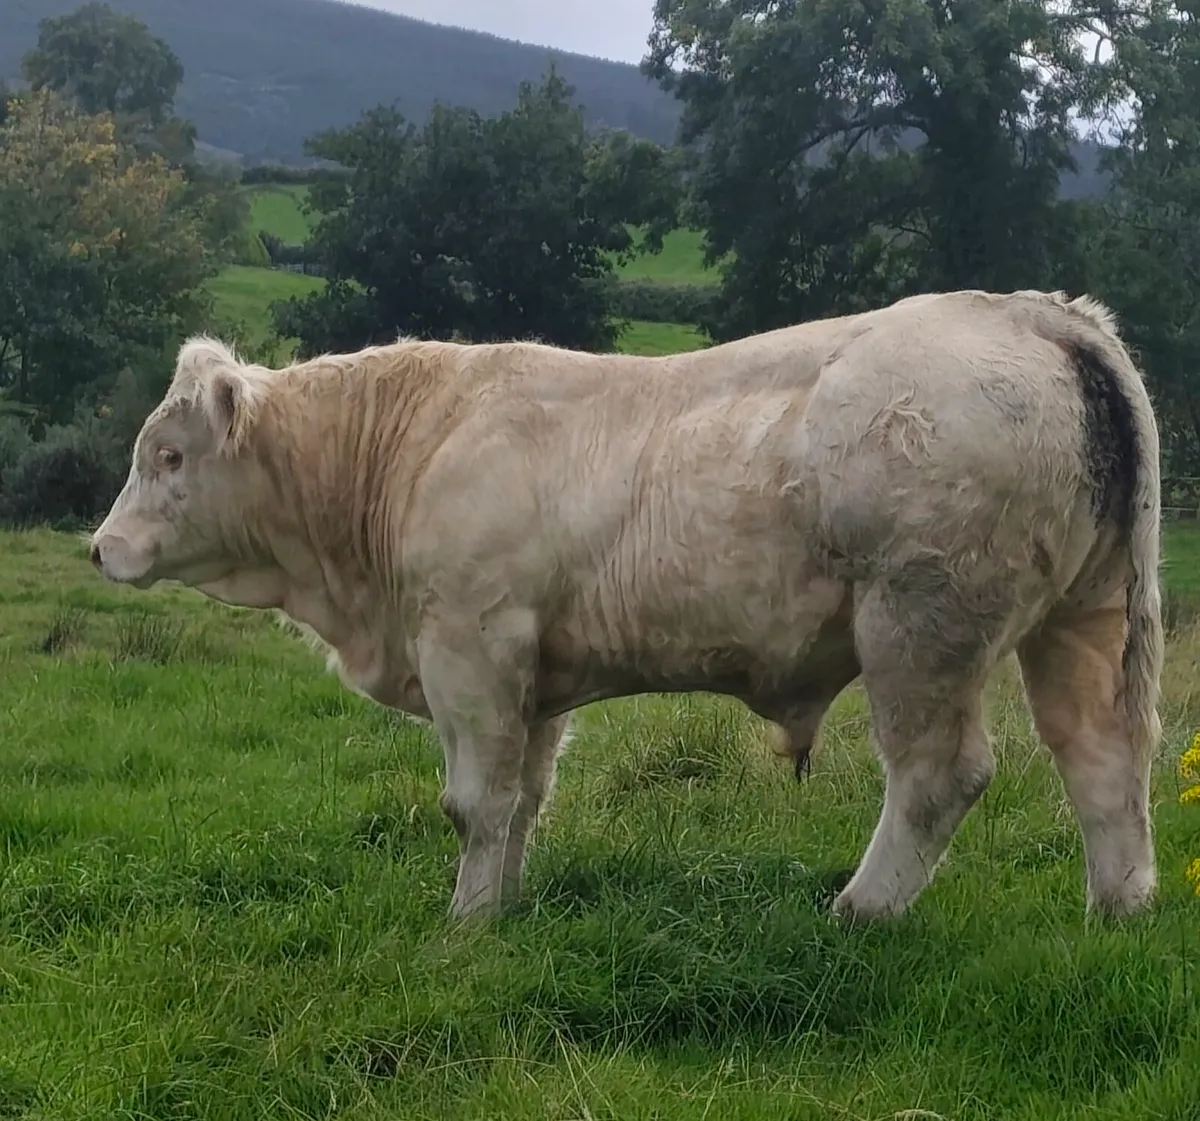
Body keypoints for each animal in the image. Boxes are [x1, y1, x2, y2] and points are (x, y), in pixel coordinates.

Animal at [89, 288, 1164, 923]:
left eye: (169, 455)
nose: (100, 546)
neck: (415, 445)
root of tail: (1032, 311)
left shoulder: (469, 646)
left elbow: (473, 802)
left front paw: (461, 926)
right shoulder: (532, 675)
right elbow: (522, 797)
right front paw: (502, 911)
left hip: (918, 623)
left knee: (940, 774)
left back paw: (859, 910)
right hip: (1083, 614)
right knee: (1103, 754)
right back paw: (1118, 910)